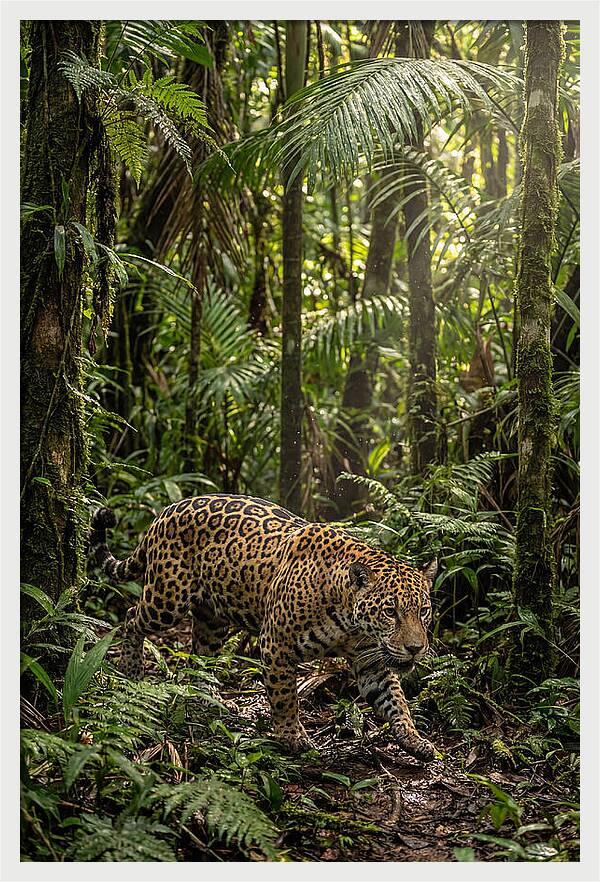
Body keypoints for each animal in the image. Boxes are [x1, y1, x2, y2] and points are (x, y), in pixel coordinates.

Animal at [89, 493, 439, 761]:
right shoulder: (277, 645)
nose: (415, 648)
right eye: (391, 611)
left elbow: (395, 700)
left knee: (200, 655)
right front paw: (293, 738)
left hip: (212, 620)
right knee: (131, 617)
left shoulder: (371, 661)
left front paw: (415, 740)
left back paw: (208, 697)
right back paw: (132, 669)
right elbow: (285, 697)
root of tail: (165, 511)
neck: (350, 620)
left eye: (423, 611)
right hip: (167, 599)